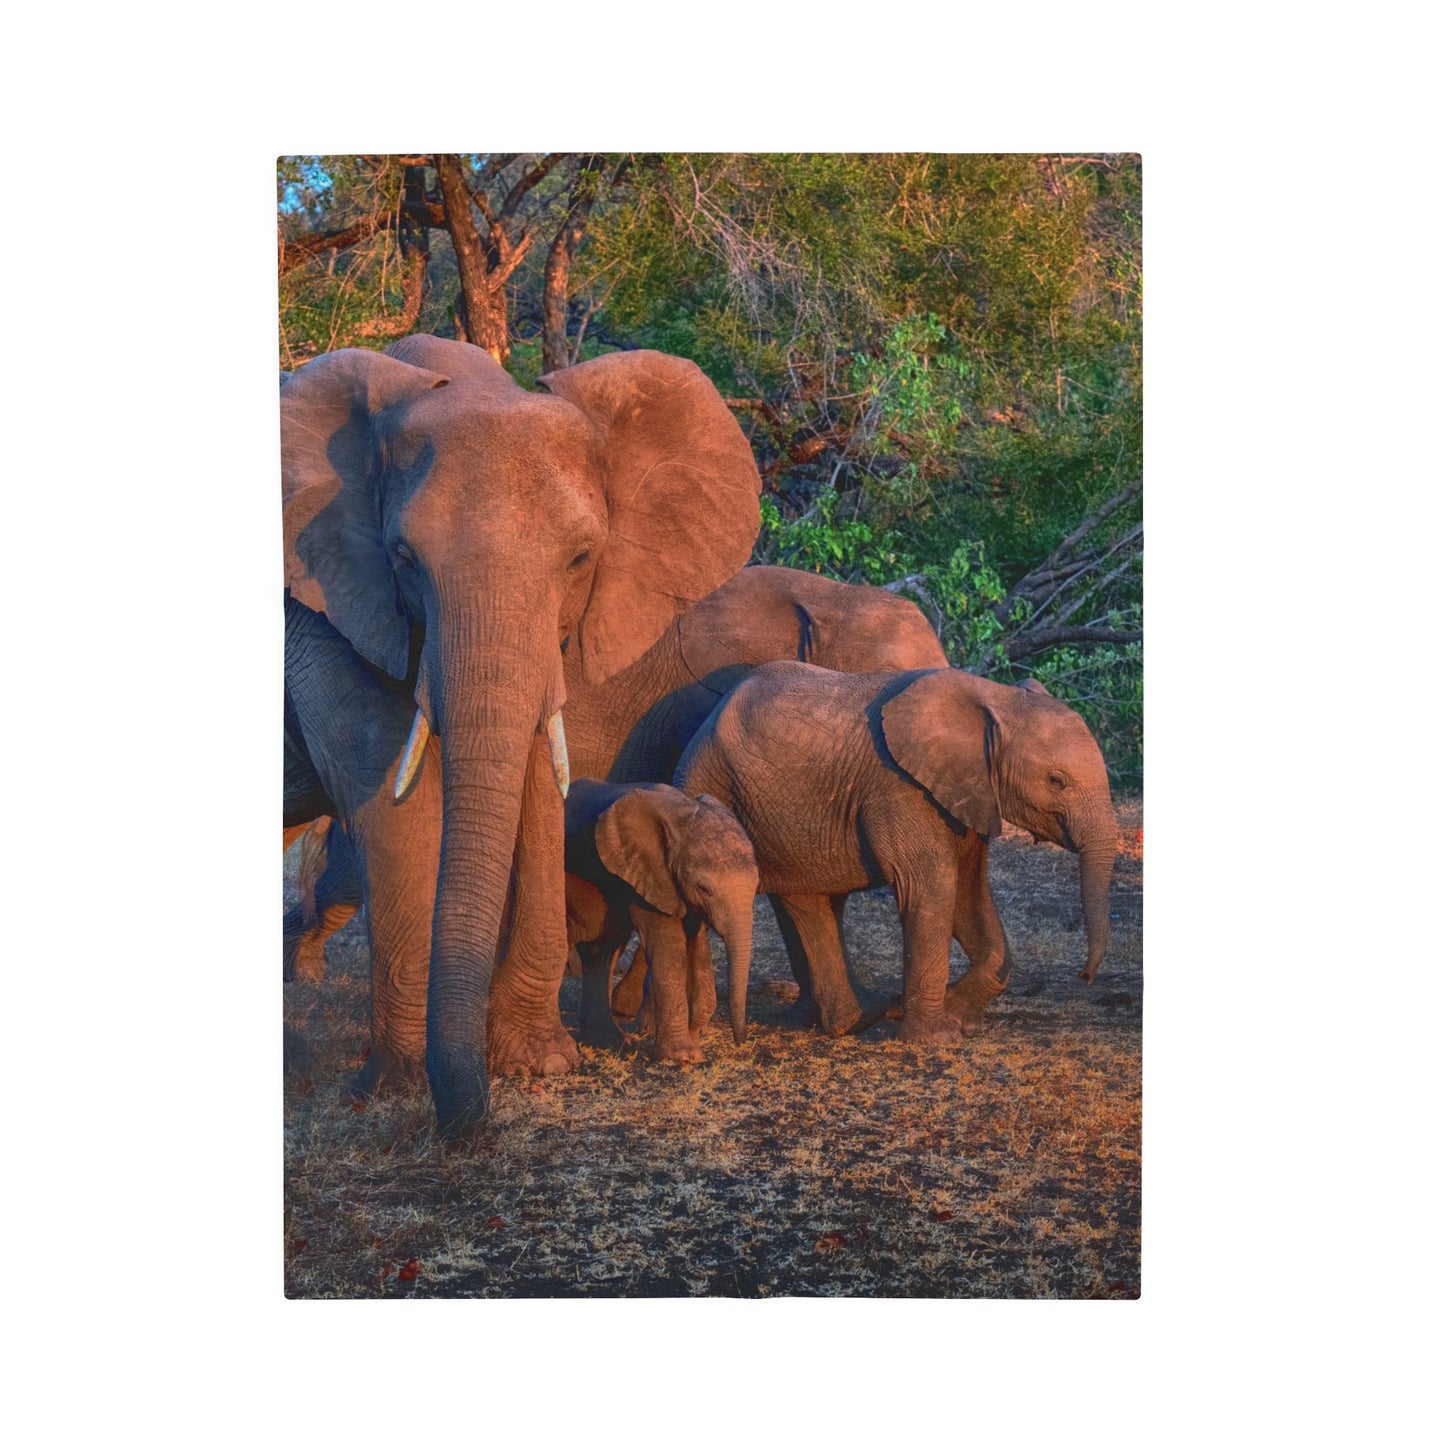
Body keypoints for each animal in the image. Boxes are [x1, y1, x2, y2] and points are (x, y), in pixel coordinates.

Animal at [563, 780, 757, 1063]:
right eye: (704, 888)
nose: (740, 1040)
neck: (680, 815)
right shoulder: (645, 874)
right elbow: (667, 945)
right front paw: (683, 1057)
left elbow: (696, 943)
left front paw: (694, 1037)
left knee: (600, 951)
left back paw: (609, 1042)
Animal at [674, 661, 1118, 1043]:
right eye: (1056, 780)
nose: (1084, 976)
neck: (995, 698)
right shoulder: (900, 787)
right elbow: (932, 886)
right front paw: (935, 1038)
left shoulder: (969, 792)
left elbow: (969, 891)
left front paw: (960, 1018)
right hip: (721, 788)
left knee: (807, 900)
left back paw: (857, 1016)